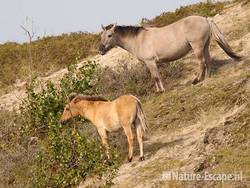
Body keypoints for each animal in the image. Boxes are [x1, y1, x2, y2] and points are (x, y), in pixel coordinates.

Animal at [98, 15, 241, 92]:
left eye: (109, 35)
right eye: (101, 36)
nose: (100, 50)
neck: (139, 39)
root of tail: (205, 19)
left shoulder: (151, 62)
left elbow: (156, 77)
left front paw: (161, 91)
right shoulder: (150, 64)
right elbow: (154, 77)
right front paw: (159, 90)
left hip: (197, 46)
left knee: (202, 62)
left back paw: (196, 80)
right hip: (205, 46)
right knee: (208, 60)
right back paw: (208, 78)